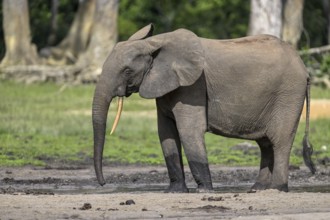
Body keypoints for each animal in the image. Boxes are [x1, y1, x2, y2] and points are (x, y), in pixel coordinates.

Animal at [92, 23, 314, 192]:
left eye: (127, 71)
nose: (103, 184)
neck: (154, 42)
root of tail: (305, 69)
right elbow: (166, 133)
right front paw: (175, 191)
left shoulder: (194, 85)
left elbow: (188, 131)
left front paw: (204, 190)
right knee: (265, 144)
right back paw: (257, 189)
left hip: (288, 94)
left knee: (280, 141)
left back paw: (277, 188)